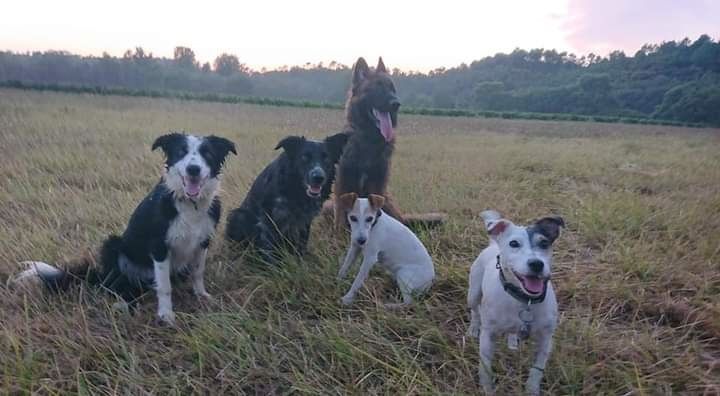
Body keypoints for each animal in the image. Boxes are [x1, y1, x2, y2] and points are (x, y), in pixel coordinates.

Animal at [11, 133, 236, 324]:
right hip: (113, 245)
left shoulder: (203, 241)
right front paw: (166, 315)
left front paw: (201, 295)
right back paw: (124, 304)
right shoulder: (159, 247)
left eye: (208, 154)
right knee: (116, 286)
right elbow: (164, 287)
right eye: (181, 152)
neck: (190, 203)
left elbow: (198, 272)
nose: (193, 169)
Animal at [330, 55, 444, 229]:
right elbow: (341, 215)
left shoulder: (378, 183)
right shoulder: (343, 182)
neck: (369, 140)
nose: (396, 104)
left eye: (392, 89)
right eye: (377, 88)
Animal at [470, 210, 564, 392]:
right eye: (514, 243)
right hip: (473, 294)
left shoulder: (546, 340)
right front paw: (487, 387)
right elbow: (485, 366)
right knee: (474, 312)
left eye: (544, 243)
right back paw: (473, 328)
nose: (536, 264)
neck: (524, 300)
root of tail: (493, 244)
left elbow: (537, 369)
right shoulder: (488, 336)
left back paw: (513, 341)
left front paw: (532, 389)